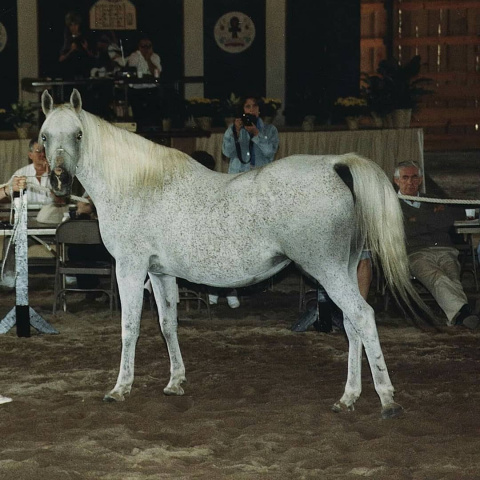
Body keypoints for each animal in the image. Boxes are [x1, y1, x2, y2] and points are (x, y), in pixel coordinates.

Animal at [39, 89, 422, 416]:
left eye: (78, 135)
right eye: (44, 136)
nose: (57, 179)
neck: (139, 185)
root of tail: (336, 165)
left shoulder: (129, 268)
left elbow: (129, 327)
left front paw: (120, 388)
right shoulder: (160, 272)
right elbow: (167, 323)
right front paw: (175, 381)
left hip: (327, 270)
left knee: (363, 317)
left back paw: (387, 399)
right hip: (344, 269)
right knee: (351, 324)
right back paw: (348, 397)